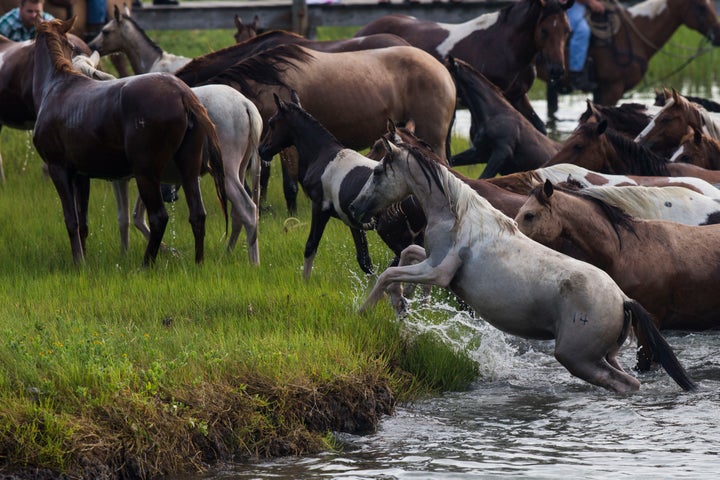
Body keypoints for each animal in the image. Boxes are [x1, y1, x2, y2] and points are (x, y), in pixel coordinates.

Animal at [31, 17, 225, 266]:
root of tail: (182, 93)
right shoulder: (81, 175)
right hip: (189, 171)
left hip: (146, 173)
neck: (57, 86)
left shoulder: (59, 169)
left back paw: (146, 264)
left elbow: (71, 220)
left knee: (159, 217)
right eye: (72, 46)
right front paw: (83, 259)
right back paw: (198, 262)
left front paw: (78, 262)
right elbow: (83, 222)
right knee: (198, 215)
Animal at [348, 131, 696, 394]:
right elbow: (406, 255)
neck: (457, 215)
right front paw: (403, 303)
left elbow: (389, 274)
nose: (354, 207)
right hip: (605, 355)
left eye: (377, 171)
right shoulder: (431, 262)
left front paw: (365, 312)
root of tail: (623, 299)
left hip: (577, 357)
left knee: (626, 384)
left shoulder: (439, 272)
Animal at [356, 0, 572, 135]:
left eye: (567, 30)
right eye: (543, 31)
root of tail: (363, 31)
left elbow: (539, 127)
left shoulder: (518, 96)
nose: (557, 70)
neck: (503, 46)